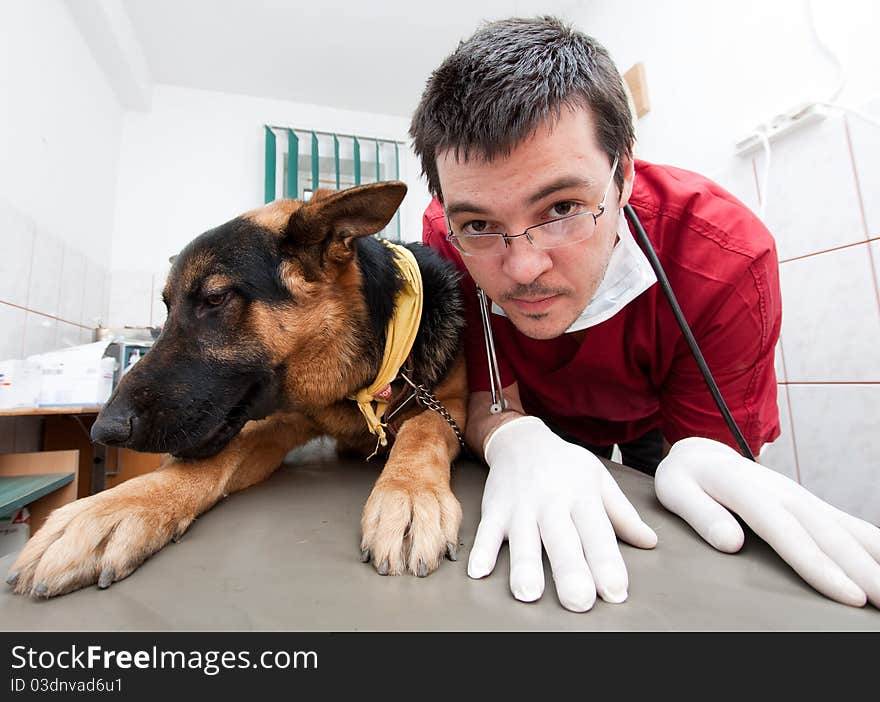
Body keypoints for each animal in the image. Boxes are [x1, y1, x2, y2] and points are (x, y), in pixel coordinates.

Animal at [6, 182, 468, 600]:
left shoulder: (449, 407)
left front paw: (407, 494)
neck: (355, 383)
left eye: (214, 298)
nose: (103, 430)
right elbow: (203, 465)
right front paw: (111, 509)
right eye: (167, 308)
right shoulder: (272, 424)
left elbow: (422, 431)